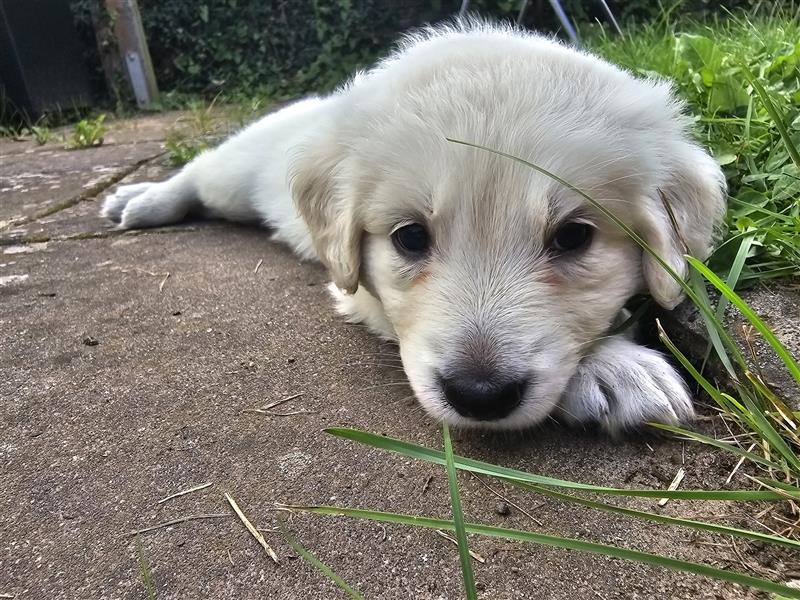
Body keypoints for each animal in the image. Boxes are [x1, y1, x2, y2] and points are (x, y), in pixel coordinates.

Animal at [100, 18, 724, 432]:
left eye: (573, 237)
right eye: (410, 238)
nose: (479, 396)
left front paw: (610, 358)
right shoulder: (356, 290)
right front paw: (612, 367)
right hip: (232, 175)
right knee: (195, 172)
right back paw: (138, 199)